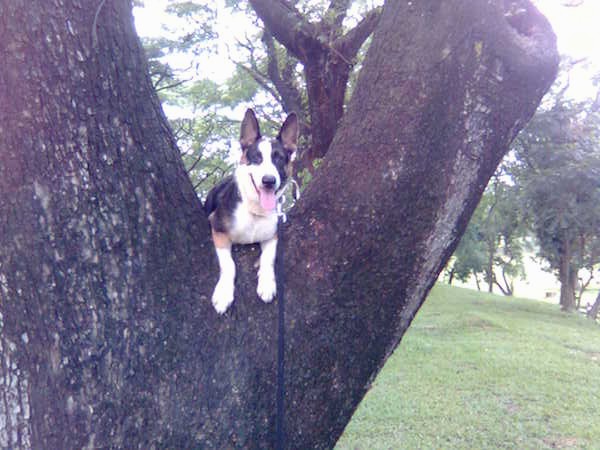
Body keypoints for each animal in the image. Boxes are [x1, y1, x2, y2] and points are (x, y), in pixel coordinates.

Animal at [205, 109, 298, 312]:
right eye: (257, 157)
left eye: (279, 158)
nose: (269, 181)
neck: (255, 211)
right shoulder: (217, 229)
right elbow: (229, 264)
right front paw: (223, 294)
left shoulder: (273, 235)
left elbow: (268, 259)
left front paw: (267, 284)